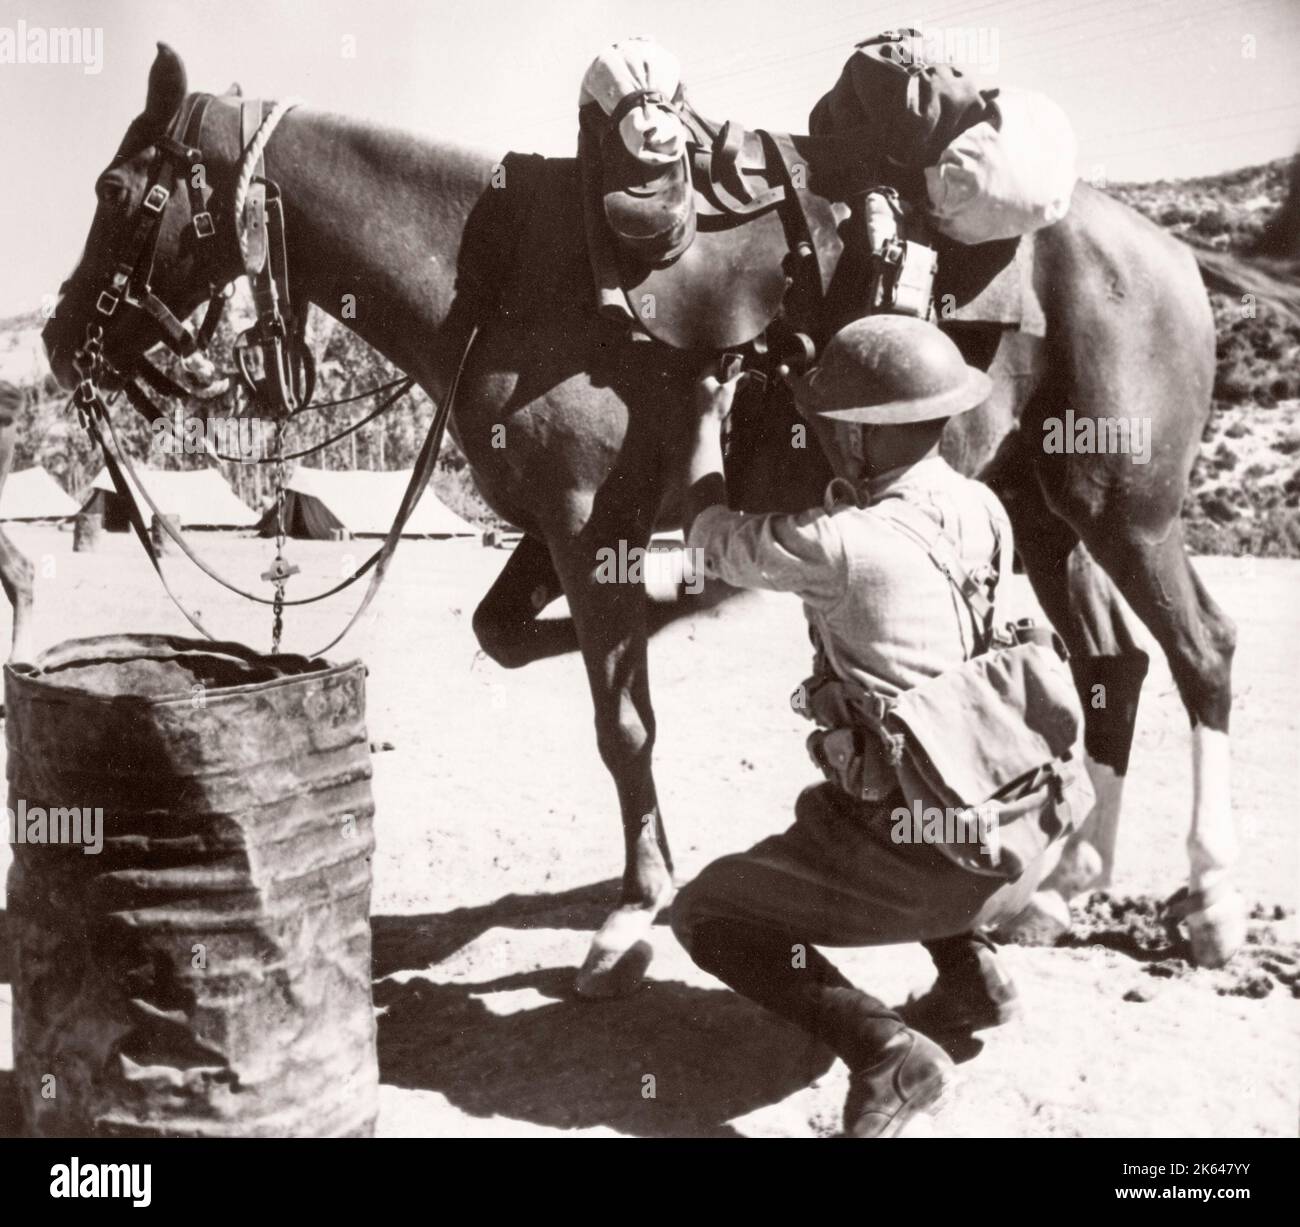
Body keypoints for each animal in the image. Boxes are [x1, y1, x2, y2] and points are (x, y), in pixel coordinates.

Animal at [40, 45, 1237, 998]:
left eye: (113, 185)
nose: (57, 341)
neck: (504, 272)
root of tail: (1166, 249)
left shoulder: (583, 528)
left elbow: (622, 725)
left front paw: (631, 912)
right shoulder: (558, 530)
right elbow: (508, 635)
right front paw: (689, 606)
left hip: (1128, 512)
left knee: (1200, 654)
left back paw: (1209, 903)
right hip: (1044, 509)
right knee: (1111, 667)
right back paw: (1063, 885)